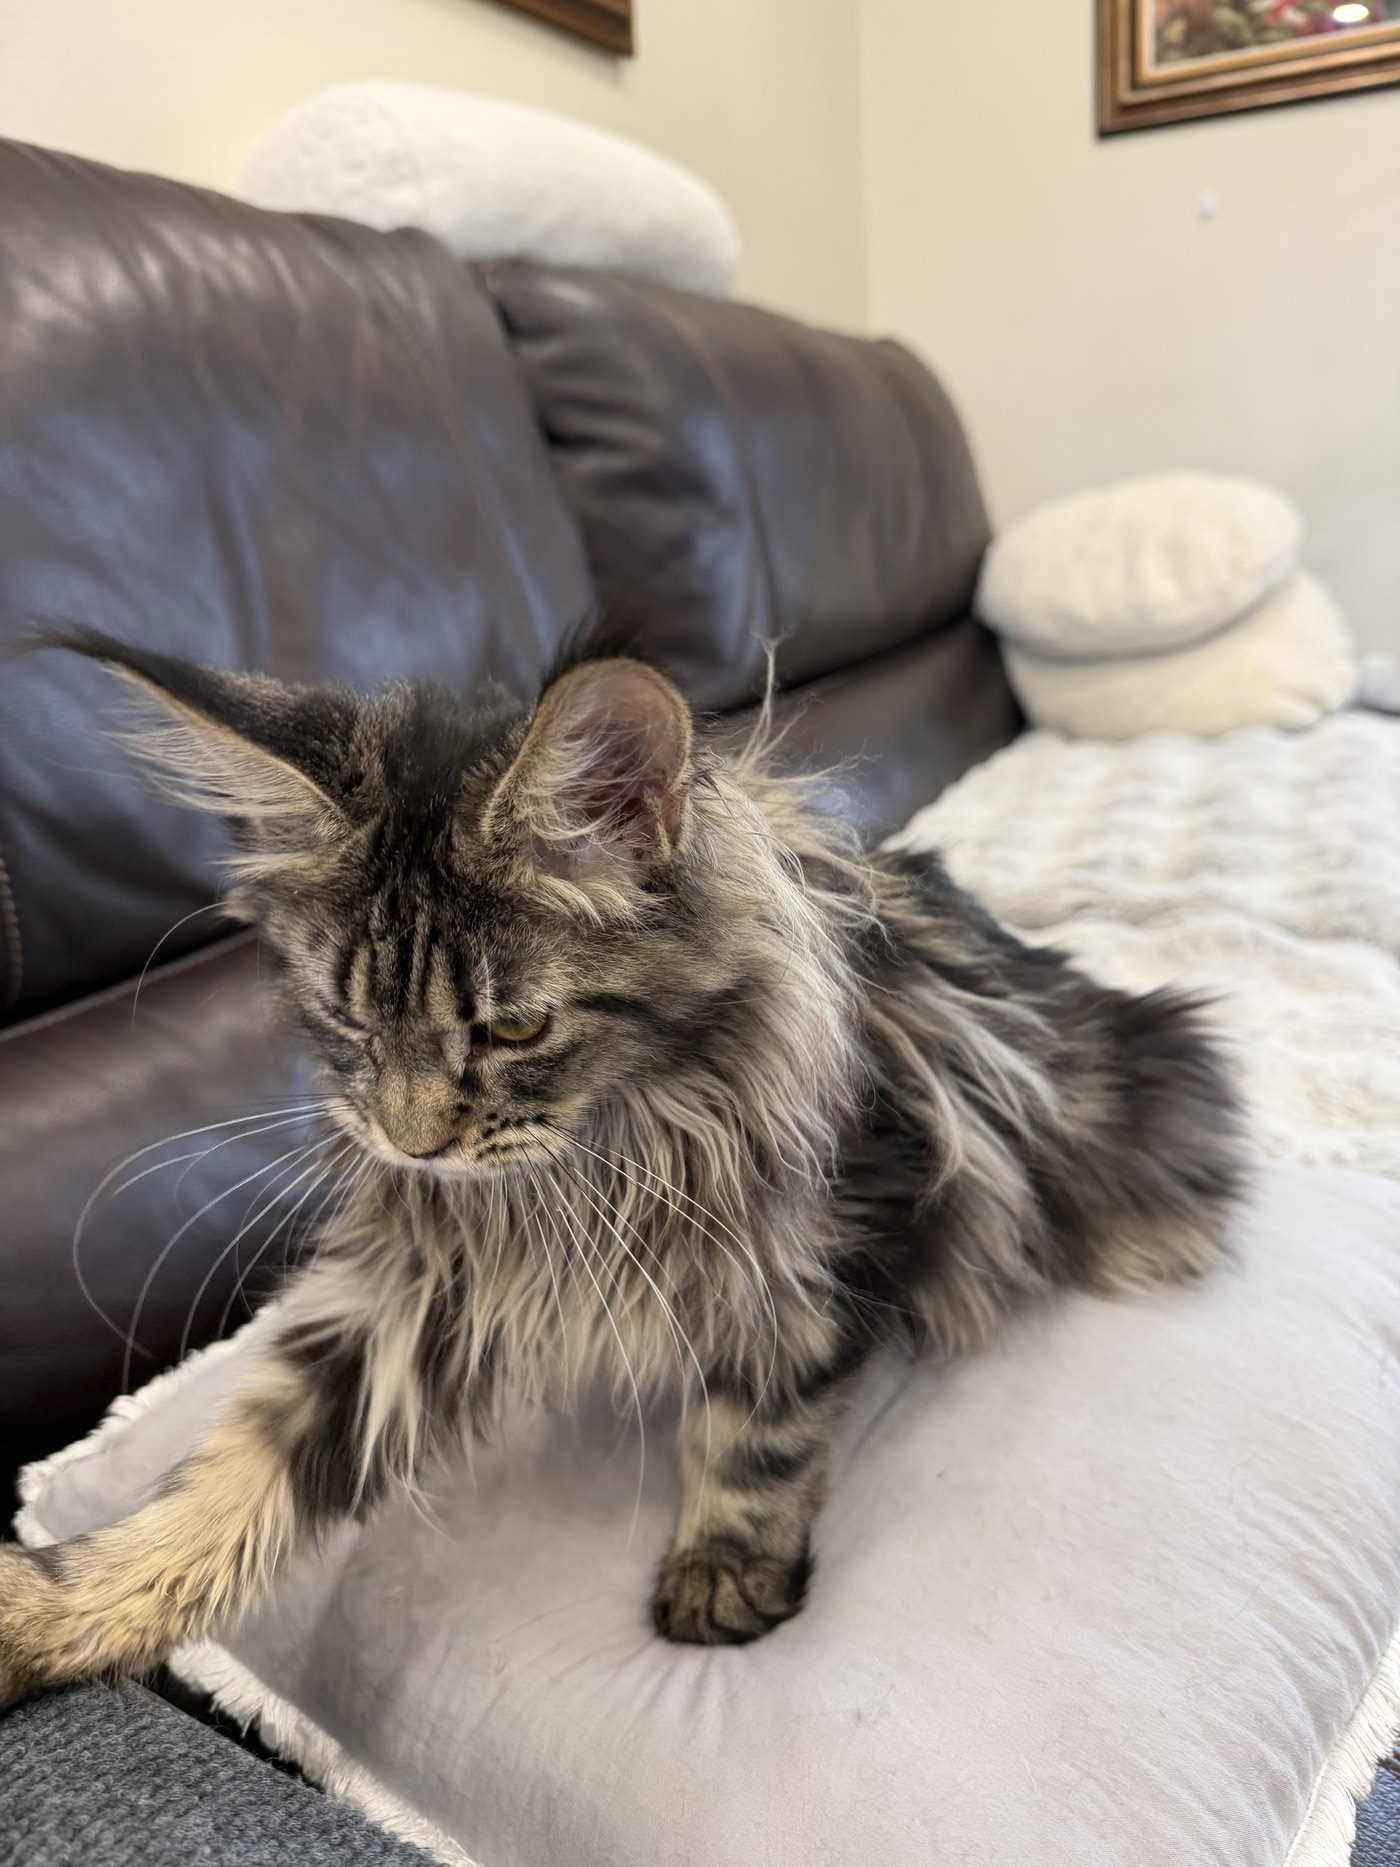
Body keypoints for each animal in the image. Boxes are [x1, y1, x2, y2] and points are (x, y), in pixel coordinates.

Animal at [0, 634, 1244, 1704]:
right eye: (345, 1020)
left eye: (509, 1028)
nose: (409, 1140)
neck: (599, 1150)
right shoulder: (414, 1294)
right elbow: (234, 1480)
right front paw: (59, 1612)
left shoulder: (822, 1242)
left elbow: (755, 1429)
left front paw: (723, 1570)